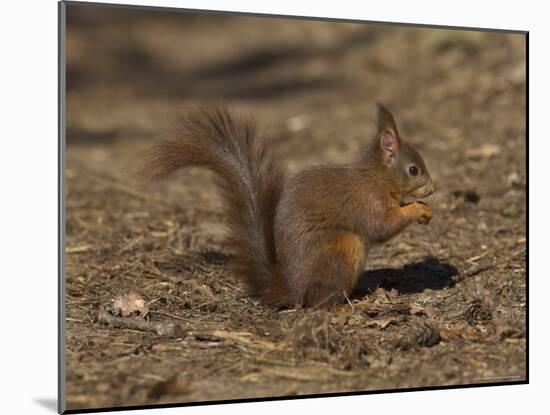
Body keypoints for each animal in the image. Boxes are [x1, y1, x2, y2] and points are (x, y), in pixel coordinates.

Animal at [142, 105, 436, 308]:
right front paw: (416, 210)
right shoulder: (366, 200)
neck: (377, 178)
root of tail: (293, 288)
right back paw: (345, 306)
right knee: (318, 303)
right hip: (342, 248)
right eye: (413, 170)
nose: (432, 189)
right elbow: (381, 226)